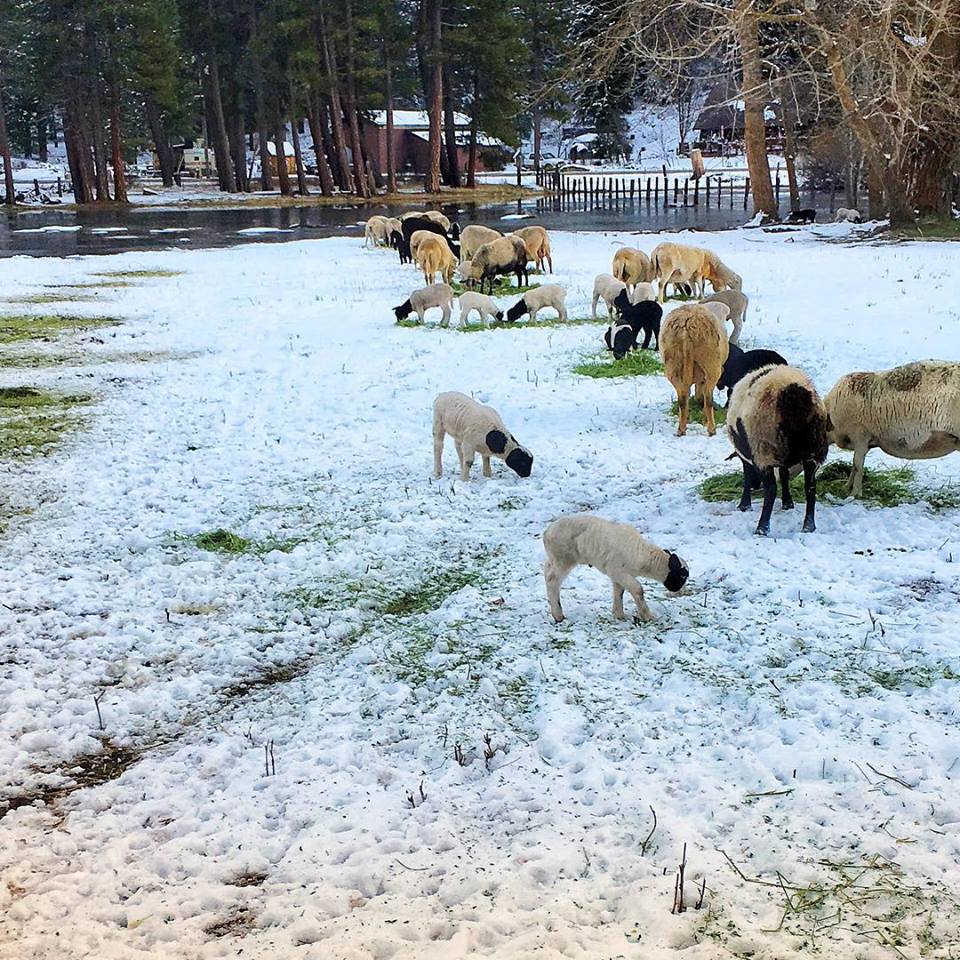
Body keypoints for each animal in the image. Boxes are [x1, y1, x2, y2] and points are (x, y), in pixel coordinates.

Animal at [540, 512, 688, 628]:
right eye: (682, 576)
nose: (677, 590)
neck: (644, 557)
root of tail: (546, 533)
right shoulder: (618, 571)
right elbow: (638, 590)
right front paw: (647, 616)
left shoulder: (618, 575)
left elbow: (619, 592)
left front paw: (619, 615)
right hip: (564, 559)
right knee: (552, 580)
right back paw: (558, 616)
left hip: (554, 558)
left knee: (547, 570)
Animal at [656, 304, 732, 436]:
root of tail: (687, 327)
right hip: (711, 364)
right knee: (708, 398)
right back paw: (711, 429)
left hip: (672, 365)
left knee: (682, 398)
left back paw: (681, 428)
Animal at [724, 364, 828, 536]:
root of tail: (793, 392)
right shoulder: (783, 458)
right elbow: (785, 475)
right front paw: (788, 503)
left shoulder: (748, 456)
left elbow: (747, 476)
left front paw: (744, 505)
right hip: (812, 451)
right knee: (810, 487)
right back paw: (808, 526)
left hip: (763, 450)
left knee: (771, 489)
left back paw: (762, 528)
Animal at [820, 358, 960, 496]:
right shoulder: (865, 442)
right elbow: (855, 467)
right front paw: (846, 487)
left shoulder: (860, 435)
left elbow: (857, 465)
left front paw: (854, 494)